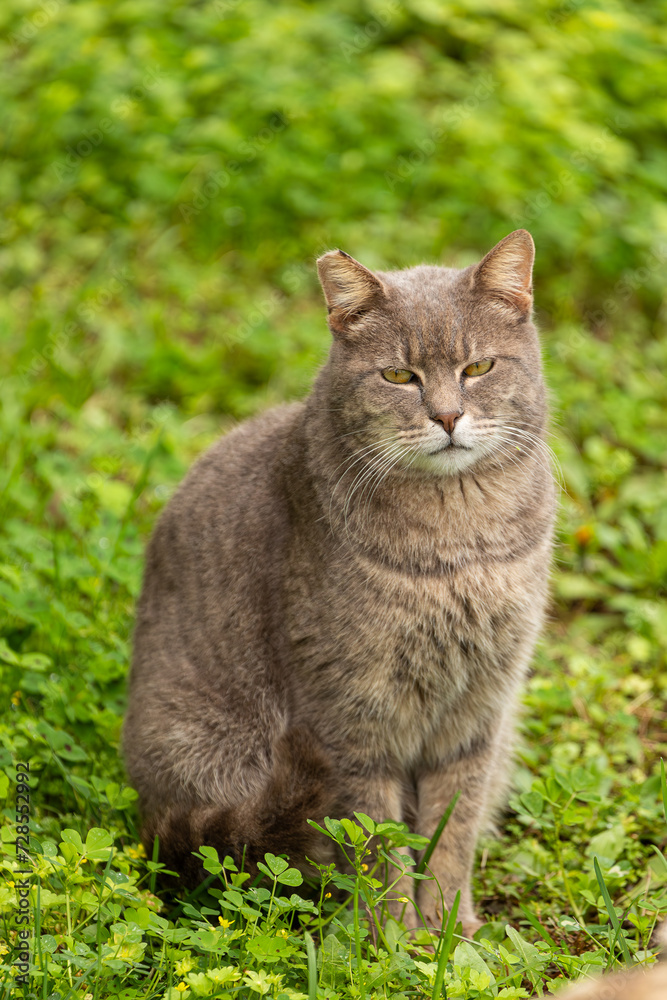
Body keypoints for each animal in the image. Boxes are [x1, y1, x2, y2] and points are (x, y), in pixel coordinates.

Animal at [122, 230, 556, 932]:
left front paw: (452, 932)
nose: (448, 417)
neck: (459, 541)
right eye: (399, 375)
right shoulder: (353, 720)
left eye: (479, 368)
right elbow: (379, 845)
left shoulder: (480, 713)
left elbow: (453, 833)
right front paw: (395, 940)